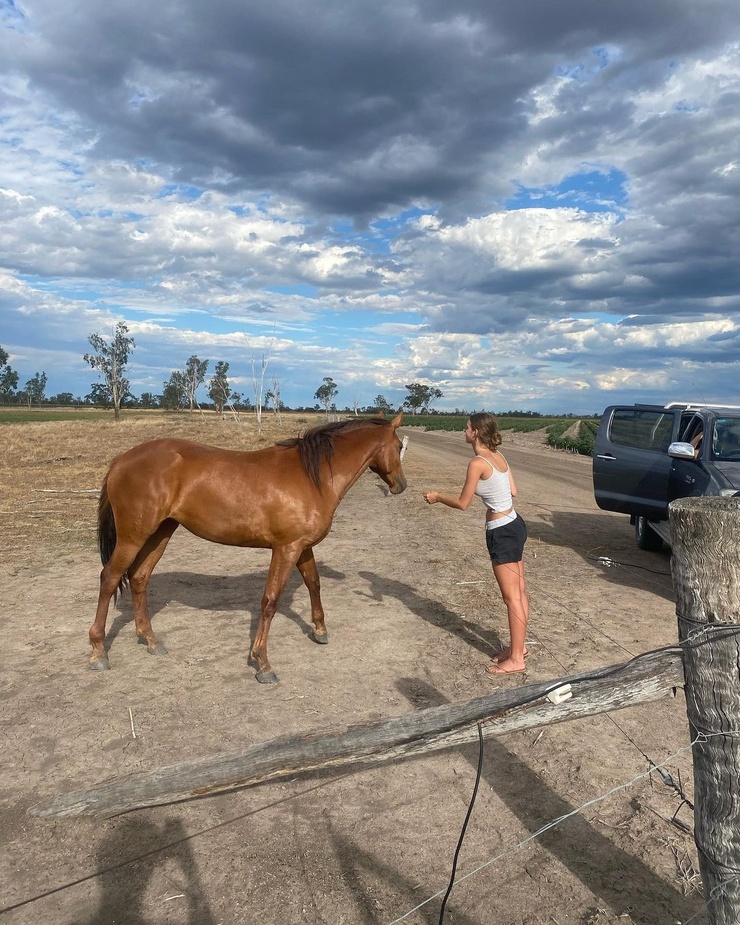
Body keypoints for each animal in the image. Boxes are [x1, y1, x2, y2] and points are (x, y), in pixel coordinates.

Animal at [91, 412, 410, 680]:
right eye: (398, 446)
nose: (401, 485)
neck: (312, 476)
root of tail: (121, 460)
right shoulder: (286, 549)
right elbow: (270, 601)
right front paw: (262, 662)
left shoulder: (302, 547)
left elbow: (314, 583)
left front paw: (320, 630)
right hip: (133, 537)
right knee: (109, 578)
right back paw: (99, 651)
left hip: (159, 534)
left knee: (139, 578)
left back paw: (150, 640)